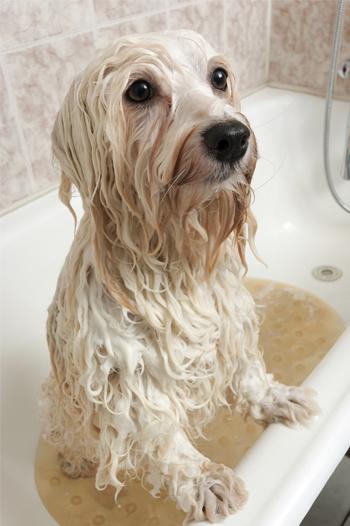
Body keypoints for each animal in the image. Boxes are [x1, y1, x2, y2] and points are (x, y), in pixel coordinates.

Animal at [41, 31, 320, 524]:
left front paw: (277, 397)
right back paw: (75, 461)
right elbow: (160, 434)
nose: (232, 136)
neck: (174, 256)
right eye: (139, 90)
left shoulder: (228, 317)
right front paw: (204, 479)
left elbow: (248, 371)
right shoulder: (120, 370)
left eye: (219, 76)